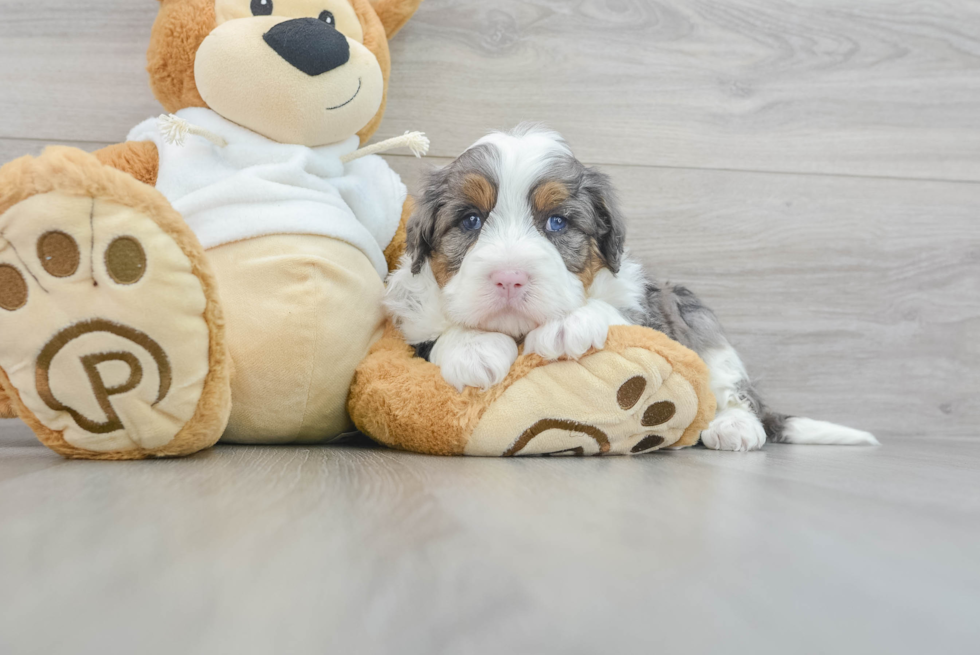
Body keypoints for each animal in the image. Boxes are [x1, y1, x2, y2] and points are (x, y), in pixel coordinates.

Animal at [384, 124, 880, 452]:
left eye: (557, 222)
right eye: (470, 220)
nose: (510, 277)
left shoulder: (648, 307)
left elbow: (613, 312)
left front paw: (568, 325)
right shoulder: (412, 323)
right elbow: (438, 336)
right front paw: (474, 350)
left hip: (694, 311)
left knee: (734, 388)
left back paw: (735, 427)